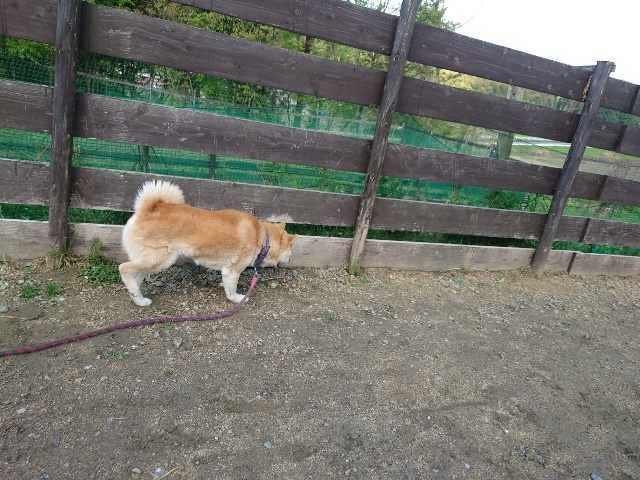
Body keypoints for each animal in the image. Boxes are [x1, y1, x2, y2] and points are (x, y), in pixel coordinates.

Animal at [119, 180, 298, 306]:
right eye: (291, 249)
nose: (290, 259)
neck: (261, 237)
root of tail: (146, 211)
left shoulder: (227, 271)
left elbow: (227, 284)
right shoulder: (232, 270)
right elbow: (232, 291)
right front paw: (238, 298)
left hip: (153, 261)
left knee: (135, 276)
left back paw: (138, 298)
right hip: (159, 260)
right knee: (124, 268)